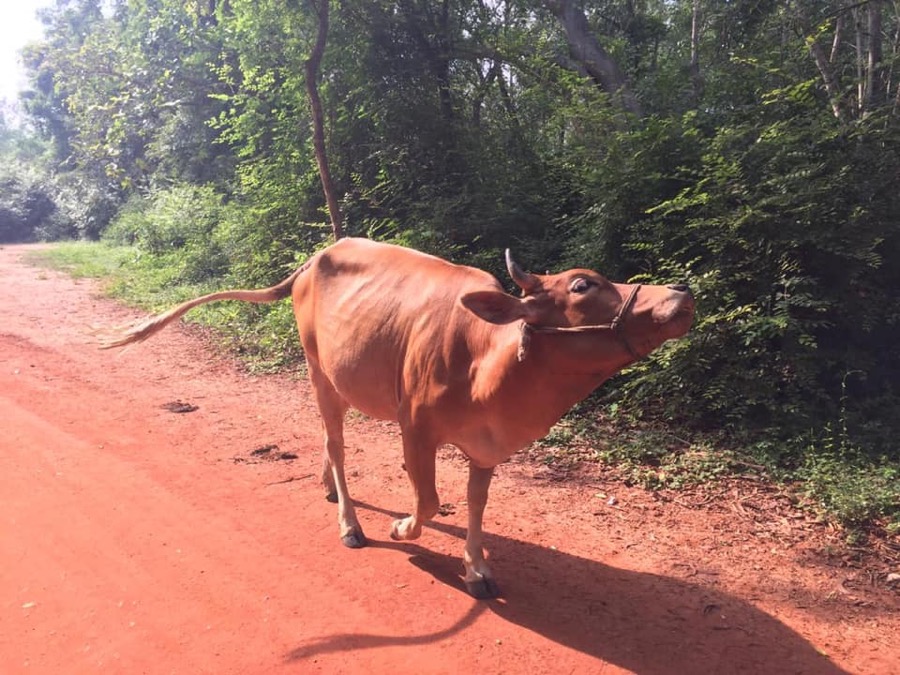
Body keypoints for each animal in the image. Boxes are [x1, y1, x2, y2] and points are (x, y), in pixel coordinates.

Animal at [103, 237, 694, 598]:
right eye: (582, 285)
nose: (681, 293)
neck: (487, 360)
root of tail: (316, 257)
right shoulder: (416, 428)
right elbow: (428, 501)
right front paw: (403, 527)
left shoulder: (486, 444)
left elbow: (475, 504)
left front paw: (477, 566)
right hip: (318, 372)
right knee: (336, 444)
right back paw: (350, 523)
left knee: (328, 441)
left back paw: (327, 487)